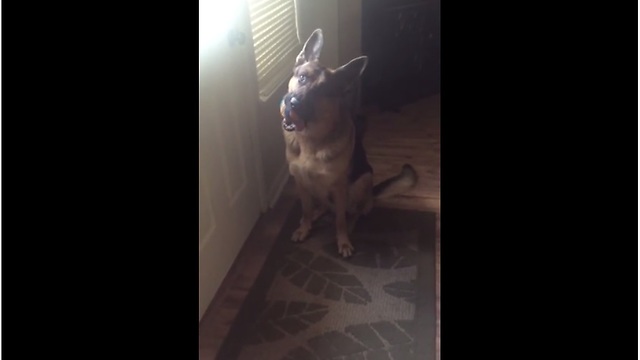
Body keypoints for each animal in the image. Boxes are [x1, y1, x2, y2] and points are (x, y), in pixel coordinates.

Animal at [278, 29, 418, 258]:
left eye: (323, 92)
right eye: (302, 77)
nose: (293, 105)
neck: (311, 140)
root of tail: (372, 196)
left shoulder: (339, 187)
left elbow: (340, 221)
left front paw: (342, 241)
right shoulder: (300, 182)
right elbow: (306, 210)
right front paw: (304, 227)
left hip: (362, 181)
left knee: (354, 212)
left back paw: (351, 224)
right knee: (325, 207)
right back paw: (317, 214)